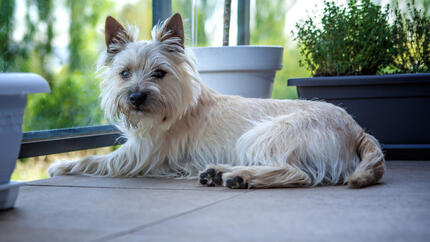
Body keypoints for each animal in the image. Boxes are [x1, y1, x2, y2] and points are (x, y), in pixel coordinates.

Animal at [47, 12, 386, 189]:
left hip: (263, 134)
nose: (136, 97)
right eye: (124, 73)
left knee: (295, 173)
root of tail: (358, 129)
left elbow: (94, 159)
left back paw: (240, 177)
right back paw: (218, 172)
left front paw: (62, 165)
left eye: (159, 73)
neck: (175, 107)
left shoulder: (137, 154)